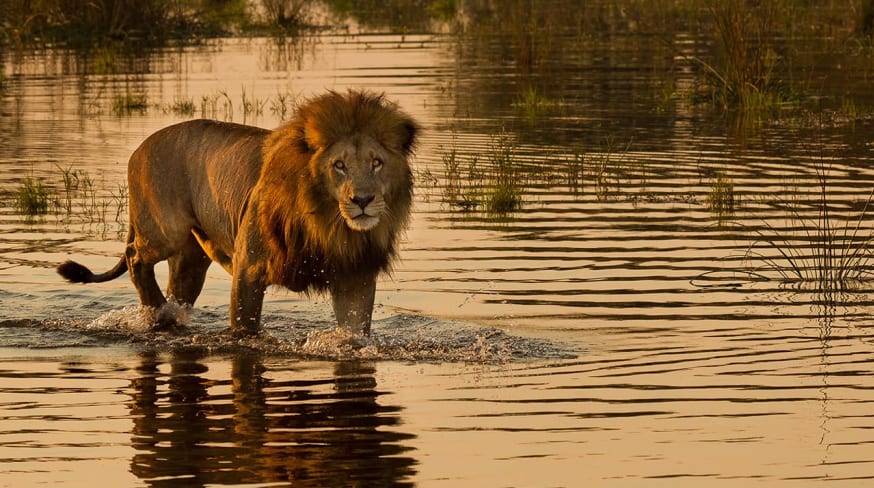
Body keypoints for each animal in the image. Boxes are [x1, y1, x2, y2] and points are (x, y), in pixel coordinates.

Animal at [57, 90, 419, 337]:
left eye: (376, 163)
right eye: (339, 166)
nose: (363, 200)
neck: (328, 225)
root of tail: (139, 148)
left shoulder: (354, 275)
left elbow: (354, 331)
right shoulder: (249, 266)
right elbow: (246, 328)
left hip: (190, 260)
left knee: (176, 290)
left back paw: (167, 314)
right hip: (165, 230)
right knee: (135, 256)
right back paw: (156, 308)